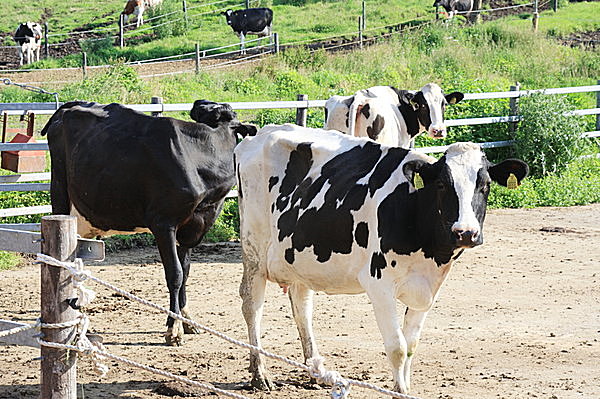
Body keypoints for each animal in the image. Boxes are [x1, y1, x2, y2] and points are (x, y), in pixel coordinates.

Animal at [41, 100, 256, 346]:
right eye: (206, 111)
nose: (198, 103)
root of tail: (72, 105)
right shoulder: (163, 223)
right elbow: (175, 274)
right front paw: (174, 329)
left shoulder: (191, 227)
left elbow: (186, 272)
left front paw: (186, 319)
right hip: (59, 193)